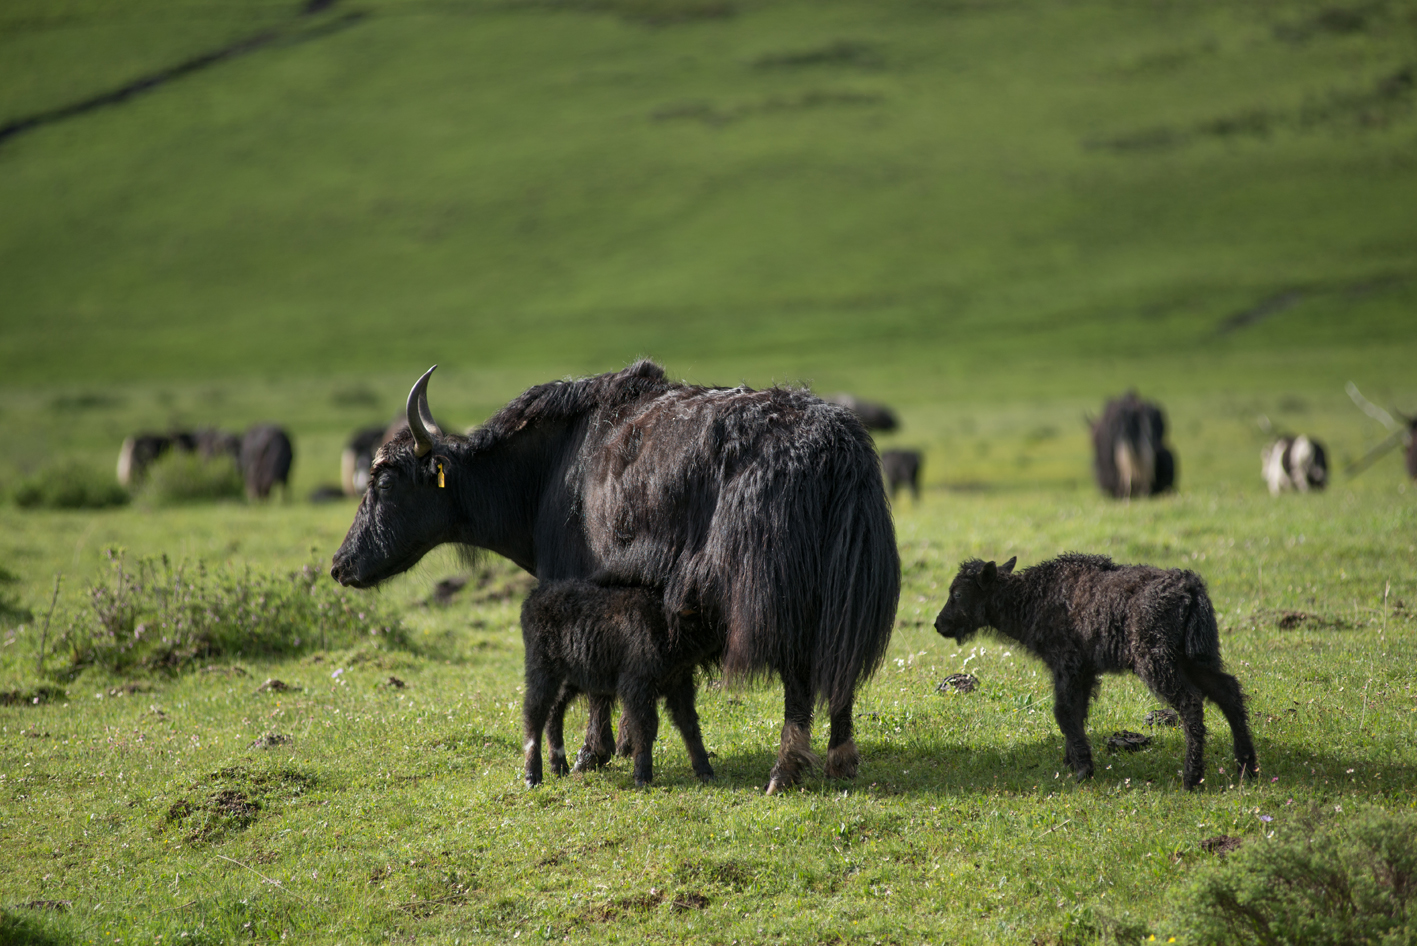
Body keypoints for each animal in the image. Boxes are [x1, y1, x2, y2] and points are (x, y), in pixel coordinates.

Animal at [521, 580, 719, 787]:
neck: (667, 624)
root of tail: (534, 597)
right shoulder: (636, 684)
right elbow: (645, 725)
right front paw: (642, 776)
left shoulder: (680, 683)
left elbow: (688, 723)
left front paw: (705, 771)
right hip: (542, 666)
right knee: (534, 711)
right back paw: (532, 775)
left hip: (572, 674)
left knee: (554, 708)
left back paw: (558, 766)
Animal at [935, 555, 1258, 793]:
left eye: (958, 593)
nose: (939, 624)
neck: (1032, 598)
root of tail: (1190, 586)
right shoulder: (1084, 670)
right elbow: (1077, 711)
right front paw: (1072, 761)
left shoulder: (1067, 664)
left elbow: (1063, 711)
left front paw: (1082, 769)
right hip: (1196, 658)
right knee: (1228, 692)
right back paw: (1246, 767)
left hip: (1158, 661)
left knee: (1191, 704)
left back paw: (1191, 778)